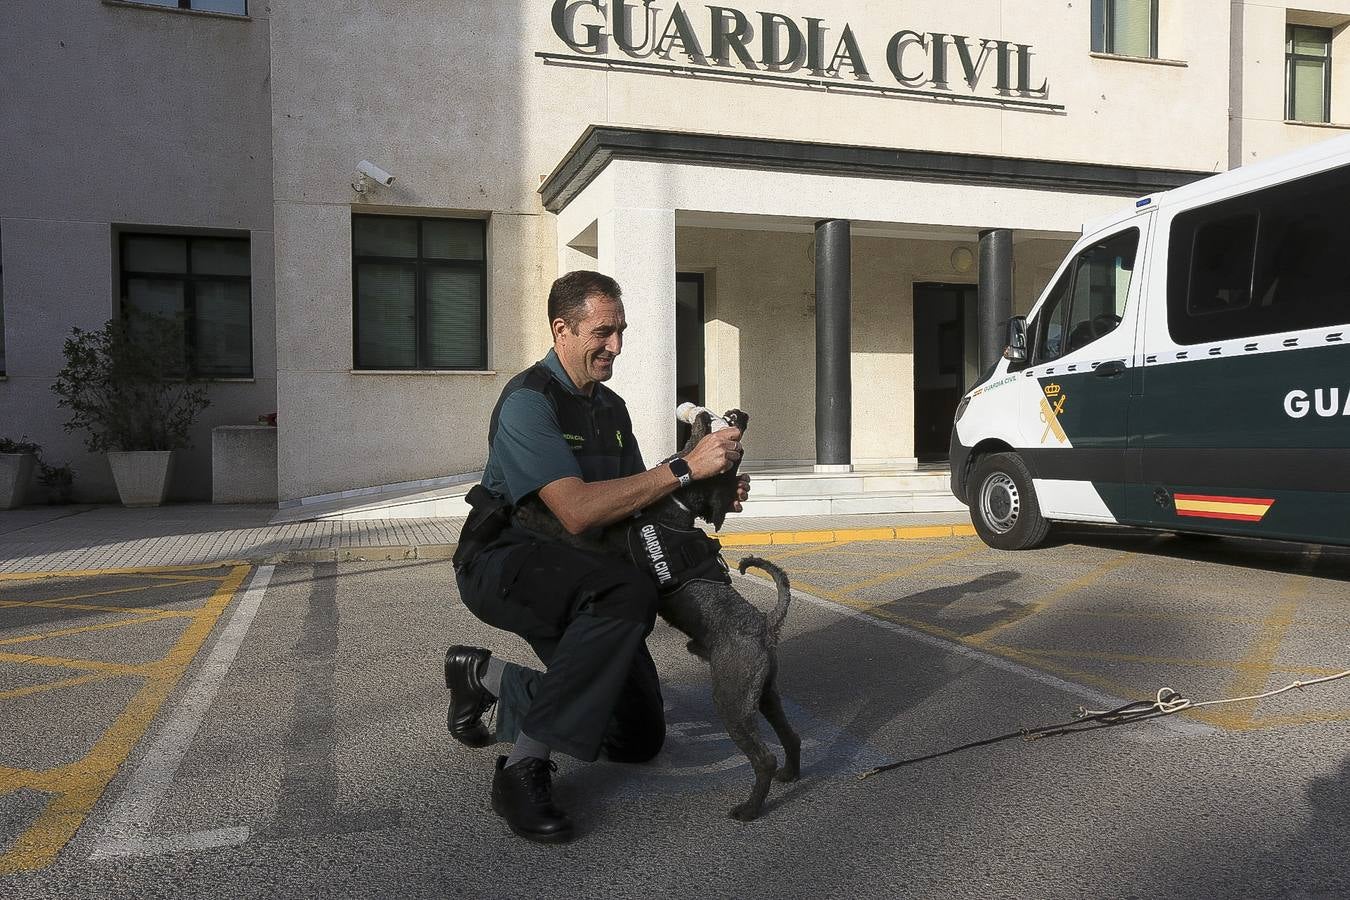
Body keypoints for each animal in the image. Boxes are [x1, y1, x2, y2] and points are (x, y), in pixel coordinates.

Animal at [510, 412, 793, 820]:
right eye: (735, 459)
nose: (739, 417)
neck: (672, 509)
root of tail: (765, 626)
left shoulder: (604, 547)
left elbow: (567, 530)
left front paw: (529, 511)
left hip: (732, 699)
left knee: (764, 757)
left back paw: (750, 808)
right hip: (766, 695)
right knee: (791, 736)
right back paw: (791, 773)